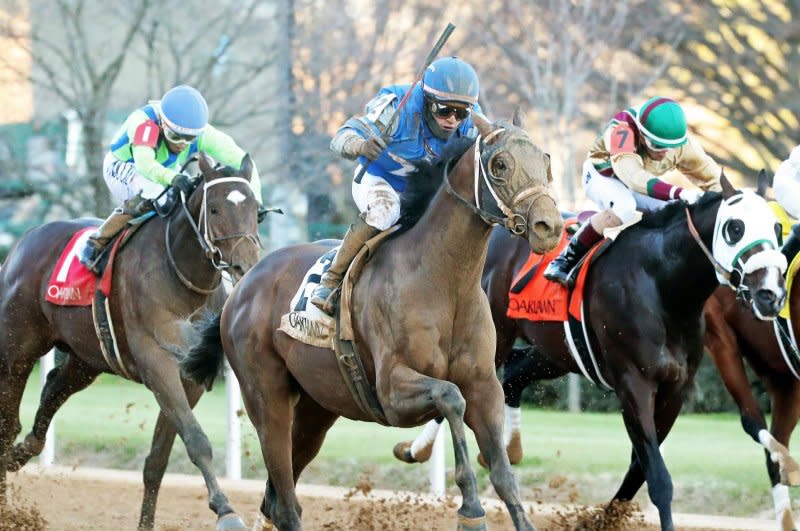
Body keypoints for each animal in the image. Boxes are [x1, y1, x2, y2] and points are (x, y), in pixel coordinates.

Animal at [0, 152, 258, 528]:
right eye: (214, 210)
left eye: (256, 208)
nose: (246, 266)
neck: (181, 279)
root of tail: (25, 240)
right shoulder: (157, 363)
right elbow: (196, 440)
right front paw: (226, 511)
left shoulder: (188, 377)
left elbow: (157, 461)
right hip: (17, 348)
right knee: (7, 424)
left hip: (85, 359)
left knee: (50, 392)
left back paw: (20, 454)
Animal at [179, 117, 564, 531]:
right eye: (500, 164)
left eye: (546, 160)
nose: (550, 226)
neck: (444, 283)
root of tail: (242, 287)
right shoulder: (393, 393)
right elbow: (450, 397)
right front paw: (471, 507)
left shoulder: (484, 385)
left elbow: (503, 472)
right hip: (267, 398)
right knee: (284, 500)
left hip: (316, 410)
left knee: (275, 499)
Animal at [390, 180, 784, 531]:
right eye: (735, 228)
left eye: (777, 227)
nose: (772, 294)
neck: (663, 286)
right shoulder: (633, 384)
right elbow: (658, 478)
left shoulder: (674, 391)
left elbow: (639, 471)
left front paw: (597, 521)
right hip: (494, 337)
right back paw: (418, 448)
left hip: (557, 352)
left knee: (515, 372)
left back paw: (506, 448)